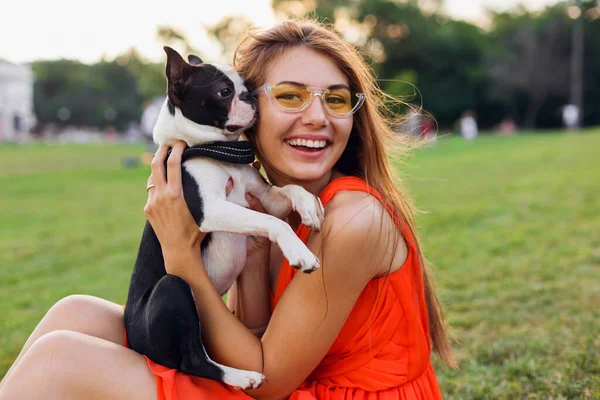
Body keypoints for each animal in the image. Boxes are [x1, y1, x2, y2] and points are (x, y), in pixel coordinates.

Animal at [124, 48, 326, 390]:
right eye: (224, 92)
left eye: (246, 84)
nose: (251, 95)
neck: (215, 149)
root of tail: (130, 339)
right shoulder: (211, 209)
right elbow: (276, 223)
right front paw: (300, 252)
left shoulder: (265, 199)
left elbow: (290, 189)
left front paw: (309, 204)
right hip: (172, 287)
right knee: (193, 361)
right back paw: (242, 376)